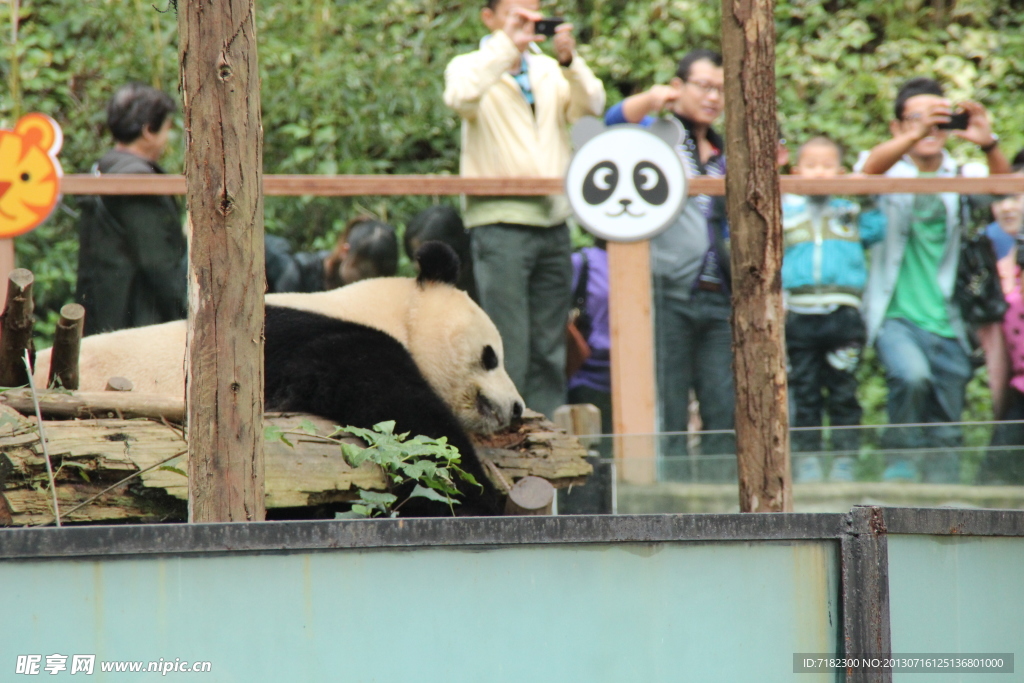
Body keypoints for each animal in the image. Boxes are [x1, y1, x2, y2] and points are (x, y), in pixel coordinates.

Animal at [36, 242, 524, 516]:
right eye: (490, 356)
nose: (517, 408)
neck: (391, 311)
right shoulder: (317, 343)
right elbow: (404, 418)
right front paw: (476, 498)